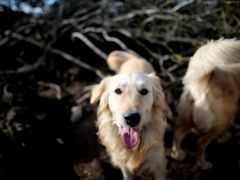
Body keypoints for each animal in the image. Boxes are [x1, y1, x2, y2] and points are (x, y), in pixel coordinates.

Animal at [89, 50, 171, 180]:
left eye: (144, 91)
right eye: (118, 91)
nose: (132, 118)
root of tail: (133, 58)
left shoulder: (159, 162)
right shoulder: (123, 163)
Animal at [172, 38, 240, 170]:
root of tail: (205, 79)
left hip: (186, 118)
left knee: (177, 135)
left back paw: (177, 154)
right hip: (220, 123)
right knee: (200, 144)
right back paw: (203, 164)